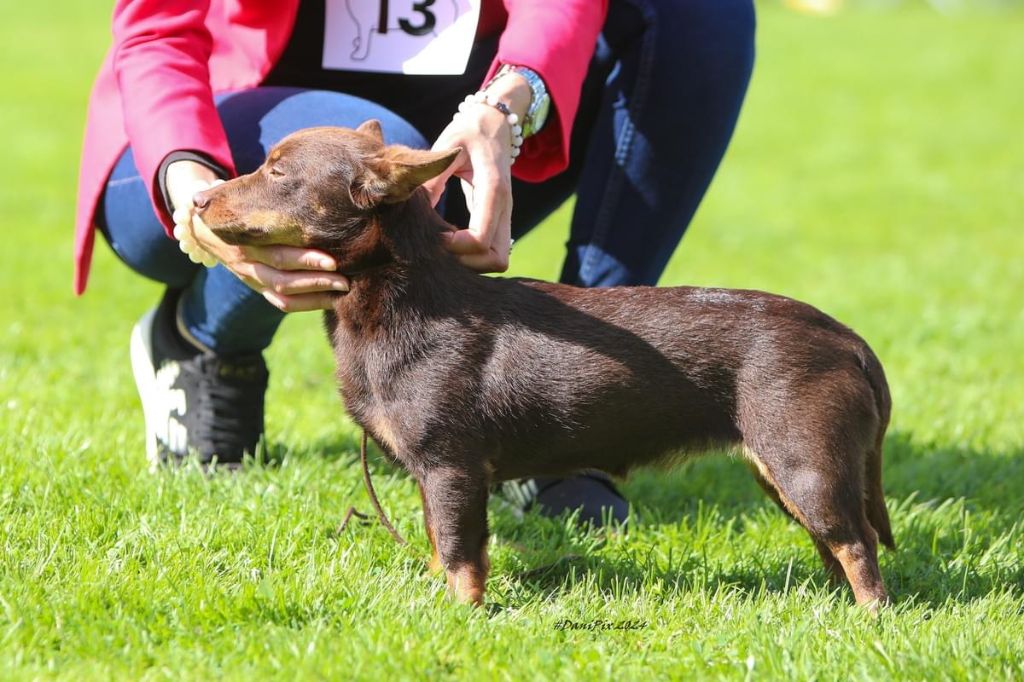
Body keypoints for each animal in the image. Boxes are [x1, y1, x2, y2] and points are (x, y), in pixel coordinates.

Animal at [193, 120, 897, 606]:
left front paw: (462, 615)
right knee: (835, 545)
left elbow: (461, 552)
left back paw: (870, 619)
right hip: (783, 471)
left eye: (277, 172)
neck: (399, 298)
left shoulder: (451, 468)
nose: (197, 201)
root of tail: (849, 341)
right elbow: (436, 542)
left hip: (804, 463)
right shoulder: (433, 477)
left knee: (856, 544)